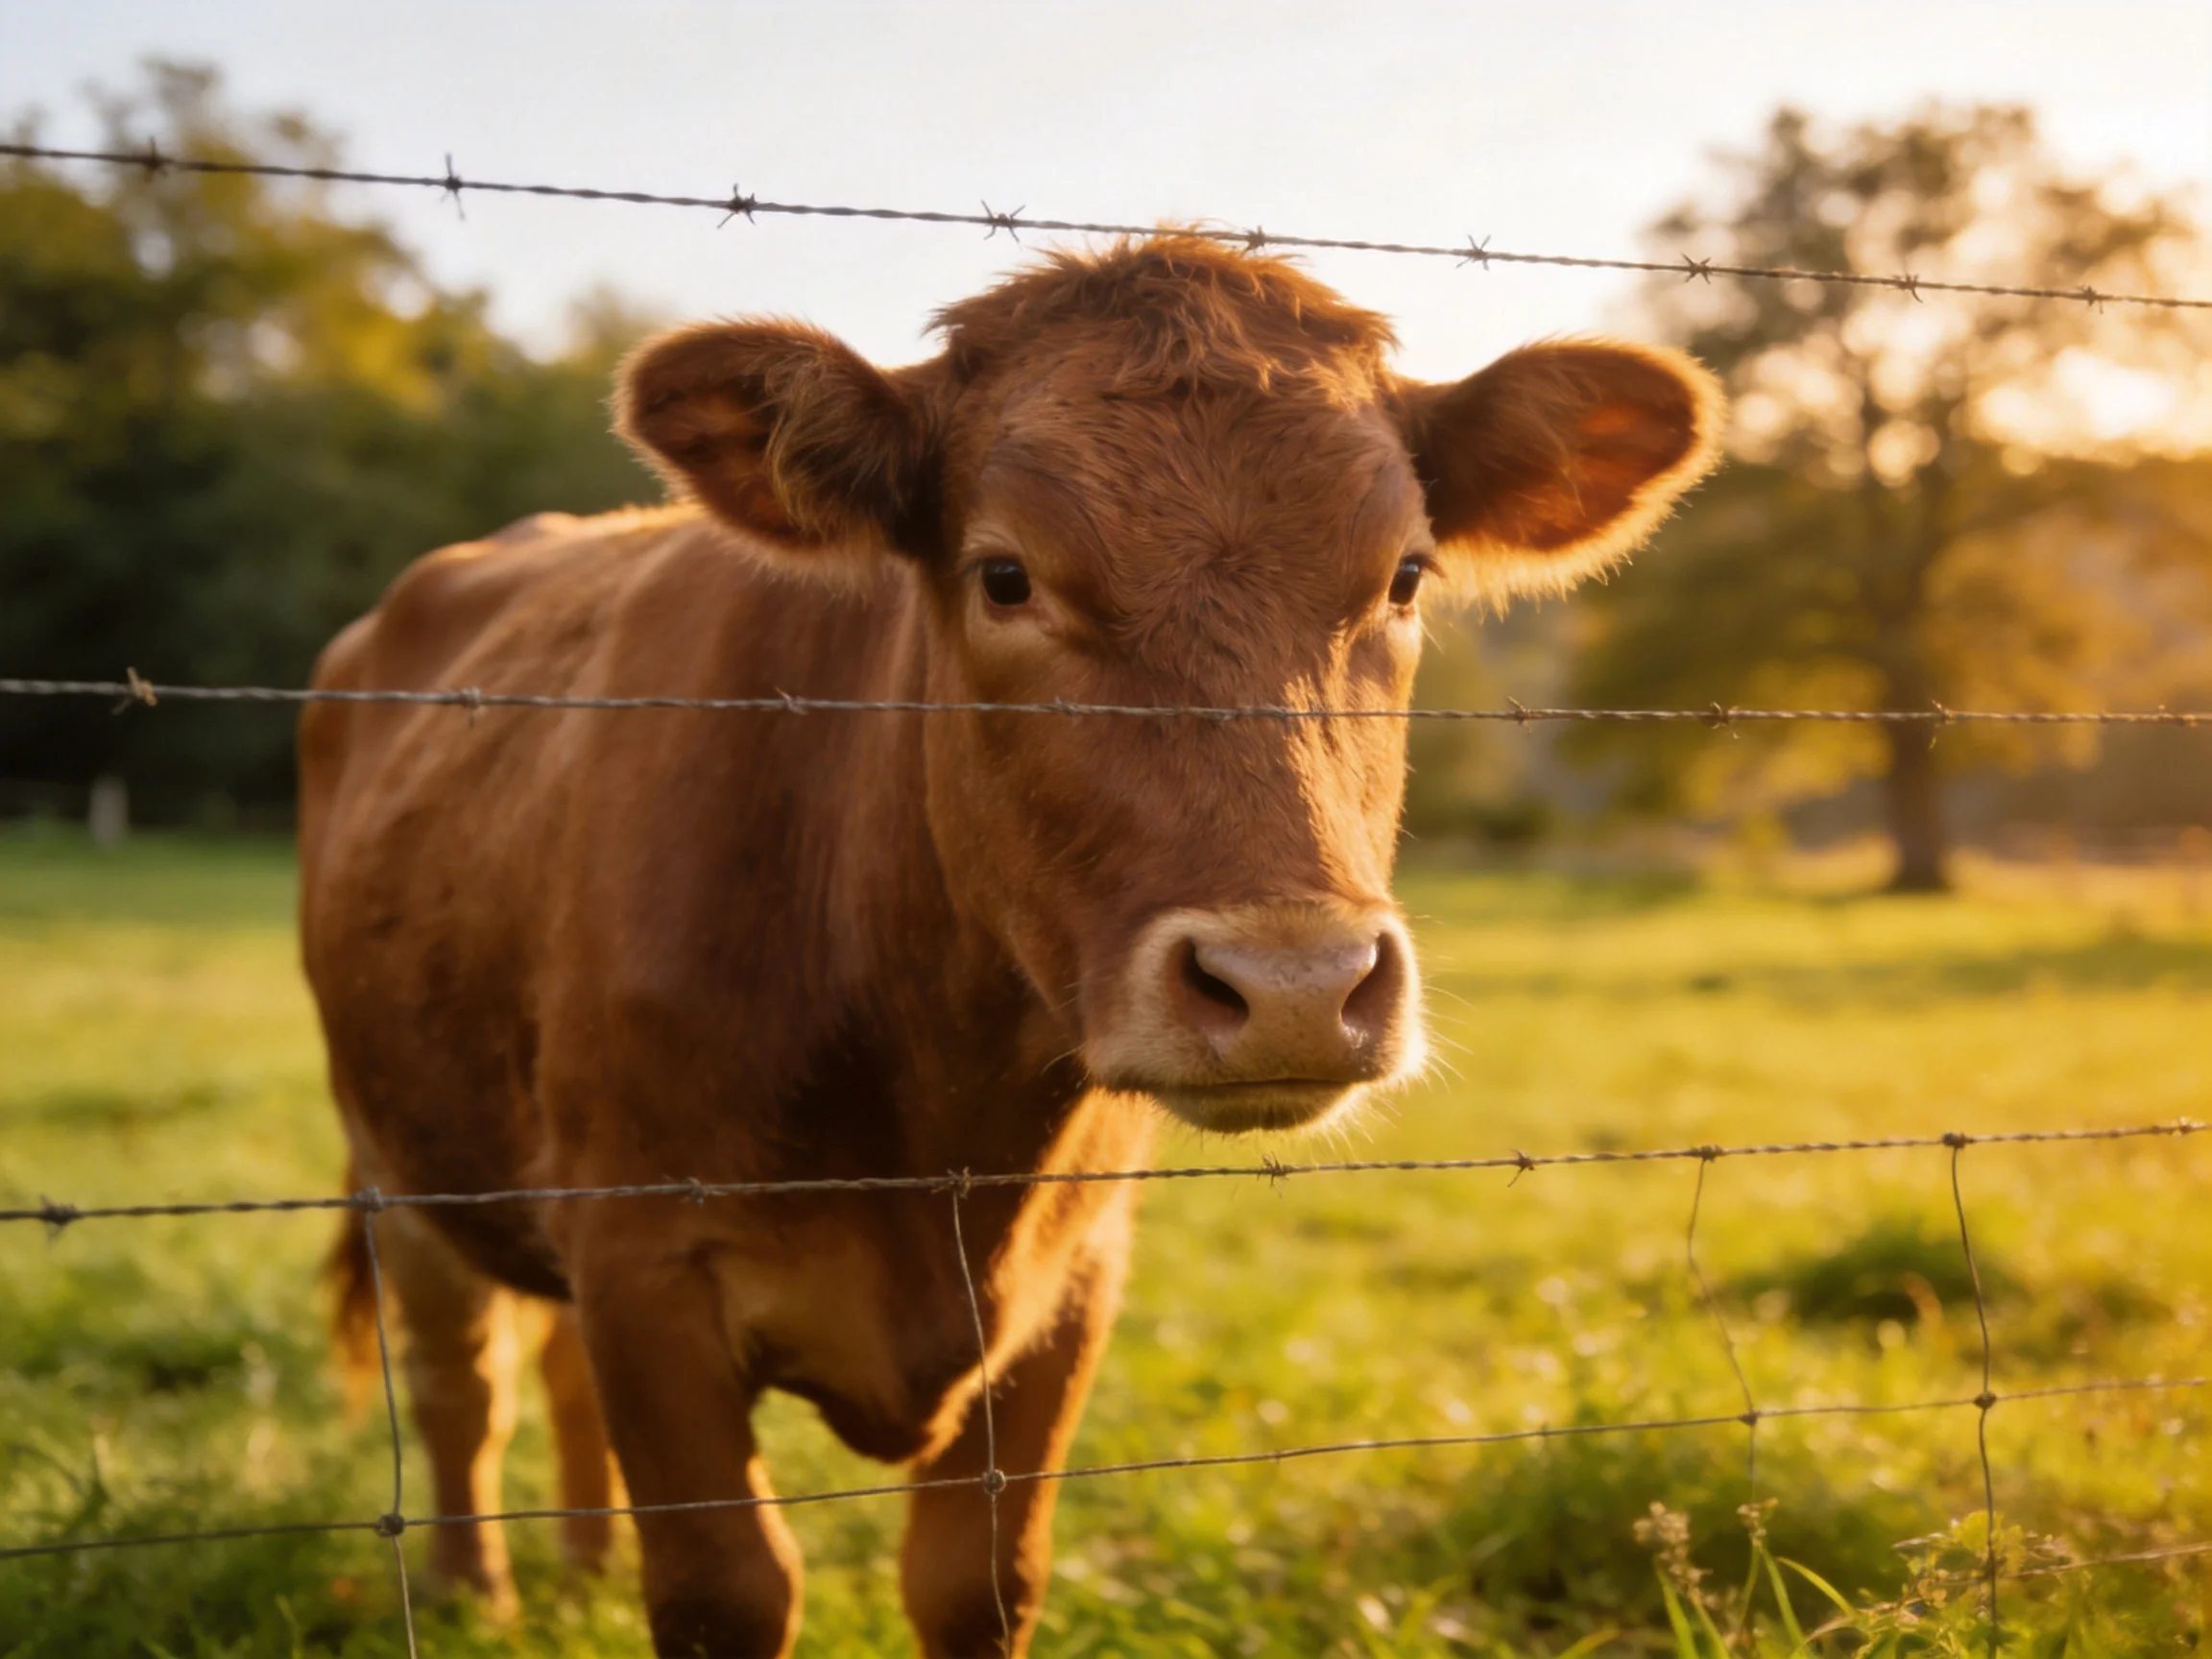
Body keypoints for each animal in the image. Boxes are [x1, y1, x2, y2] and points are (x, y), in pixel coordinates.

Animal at [300, 235, 1719, 1658]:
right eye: (1005, 575)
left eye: (1406, 575)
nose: (1295, 987)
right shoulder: (644, 1262)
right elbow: (725, 1585)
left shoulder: (1071, 1278)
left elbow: (978, 1579)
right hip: (397, 1157)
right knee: (460, 1381)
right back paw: (474, 1590)